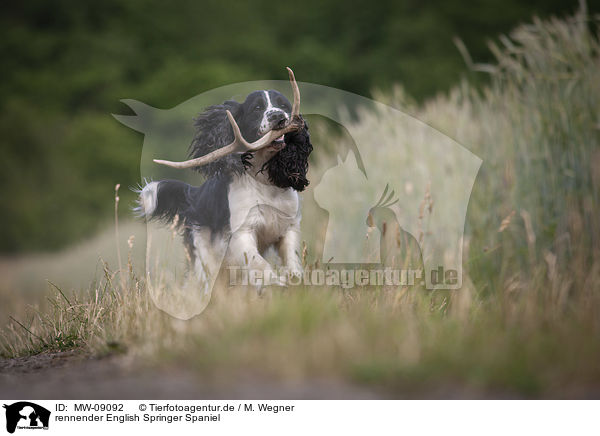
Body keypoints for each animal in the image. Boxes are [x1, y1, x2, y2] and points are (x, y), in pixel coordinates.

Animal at [138, 90, 312, 288]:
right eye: (257, 108)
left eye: (284, 106)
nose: (278, 117)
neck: (263, 182)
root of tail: (194, 196)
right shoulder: (242, 233)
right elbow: (260, 264)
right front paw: (275, 284)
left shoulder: (288, 228)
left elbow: (292, 264)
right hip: (203, 256)